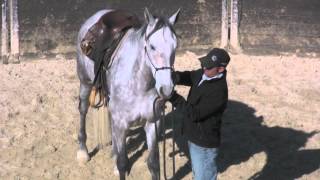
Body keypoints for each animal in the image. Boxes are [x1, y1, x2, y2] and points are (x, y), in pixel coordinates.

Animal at [75, 8, 180, 180]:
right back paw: (83, 152)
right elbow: (123, 164)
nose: (167, 89)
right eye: (152, 47)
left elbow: (154, 163)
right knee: (83, 110)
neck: (139, 83)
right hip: (85, 82)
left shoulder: (152, 122)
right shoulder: (121, 123)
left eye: (175, 47)